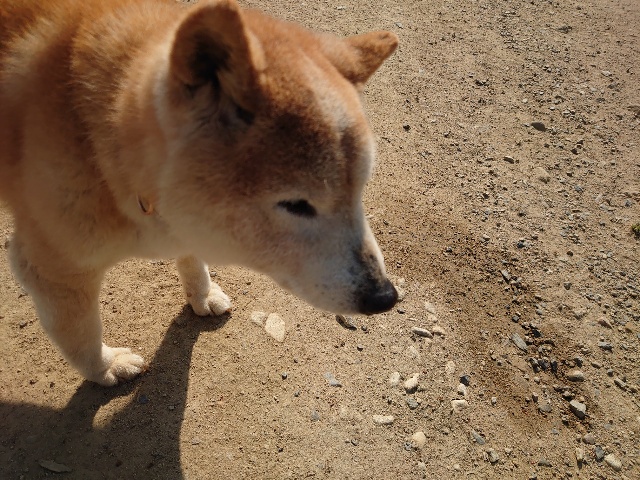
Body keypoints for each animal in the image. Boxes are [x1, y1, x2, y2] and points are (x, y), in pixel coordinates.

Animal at [0, 0, 399, 385]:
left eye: (359, 191)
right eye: (297, 205)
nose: (385, 297)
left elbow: (192, 257)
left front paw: (202, 295)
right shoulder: (52, 270)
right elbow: (81, 333)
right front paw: (105, 367)